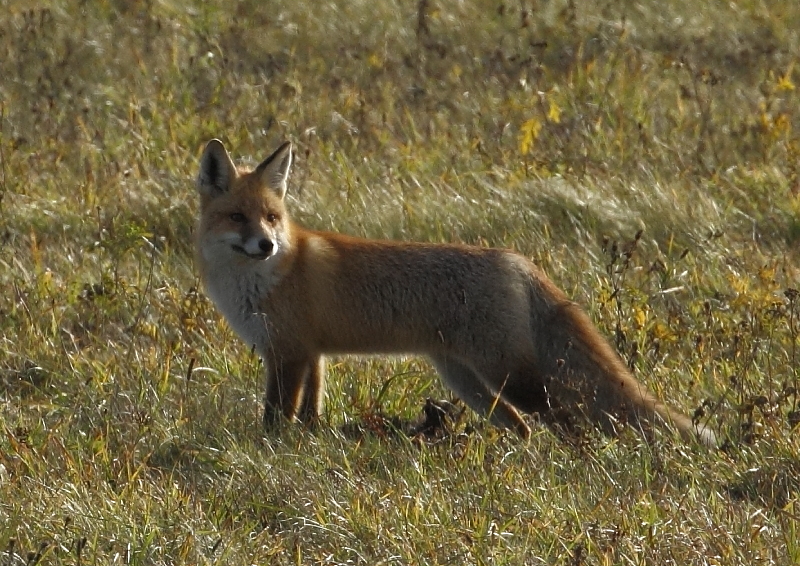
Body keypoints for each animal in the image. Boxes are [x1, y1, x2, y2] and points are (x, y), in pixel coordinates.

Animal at [195, 141, 720, 448]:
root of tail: (515, 259)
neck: (266, 277)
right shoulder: (310, 353)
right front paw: (304, 448)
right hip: (466, 380)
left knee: (565, 418)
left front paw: (271, 454)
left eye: (271, 218)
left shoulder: (288, 354)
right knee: (522, 425)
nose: (266, 245)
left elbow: (275, 416)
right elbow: (309, 415)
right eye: (238, 218)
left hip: (509, 375)